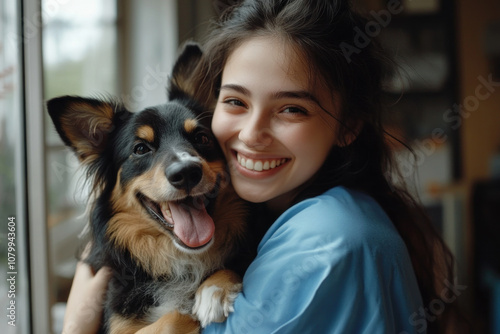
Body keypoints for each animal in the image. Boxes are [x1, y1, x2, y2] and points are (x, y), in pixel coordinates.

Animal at [47, 43, 247, 332]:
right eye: (141, 149)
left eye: (202, 137)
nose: (187, 173)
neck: (179, 259)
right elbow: (173, 317)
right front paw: (194, 303)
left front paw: (214, 289)